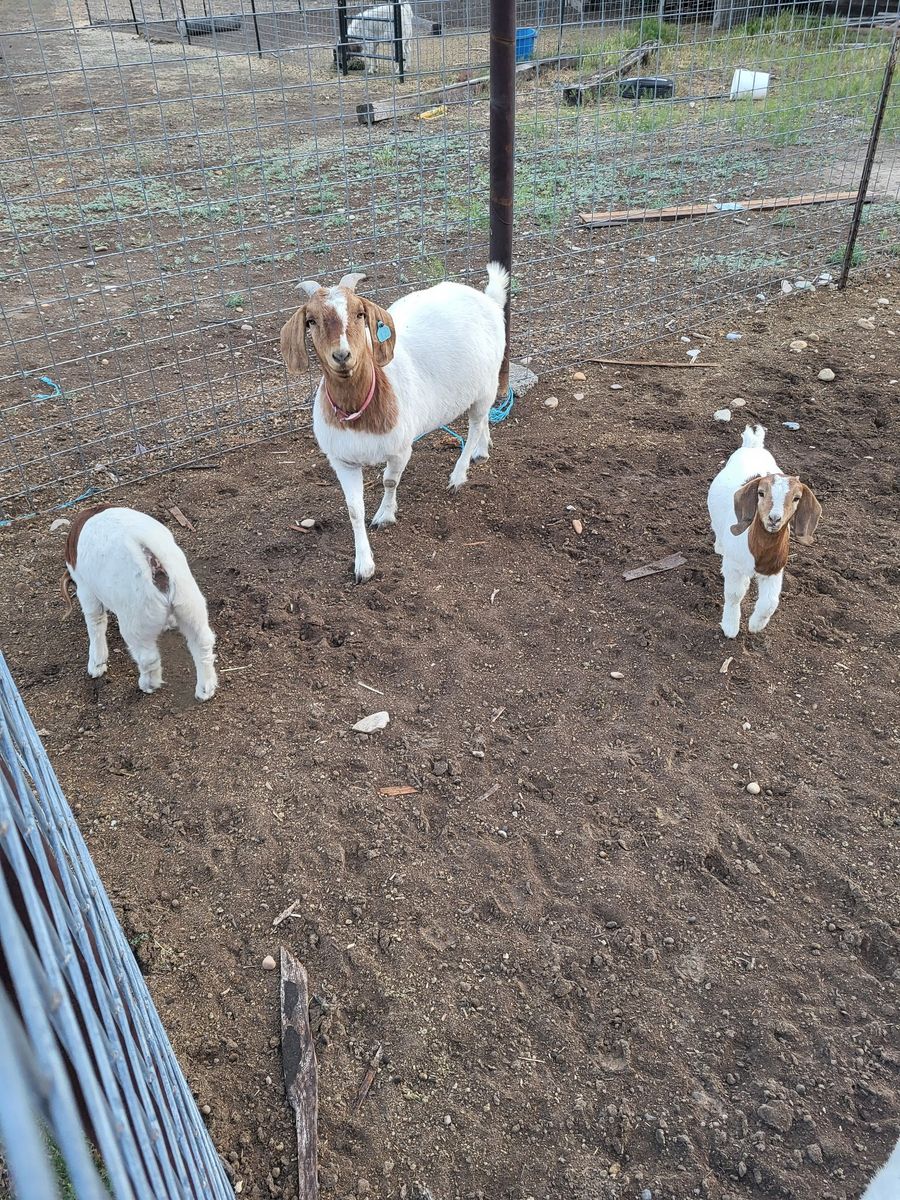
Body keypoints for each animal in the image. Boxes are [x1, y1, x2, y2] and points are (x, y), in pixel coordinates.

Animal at [62, 505, 217, 700]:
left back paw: (148, 685)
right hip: (189, 602)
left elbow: (95, 621)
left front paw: (96, 664)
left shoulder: (85, 588)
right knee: (202, 641)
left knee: (148, 658)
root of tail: (152, 559)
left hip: (137, 619)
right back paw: (206, 688)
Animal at [279, 264, 508, 582]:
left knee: (475, 424)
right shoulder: (341, 459)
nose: (342, 355)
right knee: (484, 419)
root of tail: (489, 299)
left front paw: (385, 516)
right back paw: (482, 451)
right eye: (311, 321)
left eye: (360, 313)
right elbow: (353, 509)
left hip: (487, 383)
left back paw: (459, 474)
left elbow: (390, 480)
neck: (360, 411)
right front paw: (363, 565)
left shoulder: (400, 448)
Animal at [707, 425, 822, 638]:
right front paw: (730, 627)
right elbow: (734, 594)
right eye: (760, 493)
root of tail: (752, 446)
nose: (774, 518)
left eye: (796, 498)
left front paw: (755, 625)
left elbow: (770, 602)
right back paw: (719, 546)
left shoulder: (774, 569)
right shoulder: (734, 564)